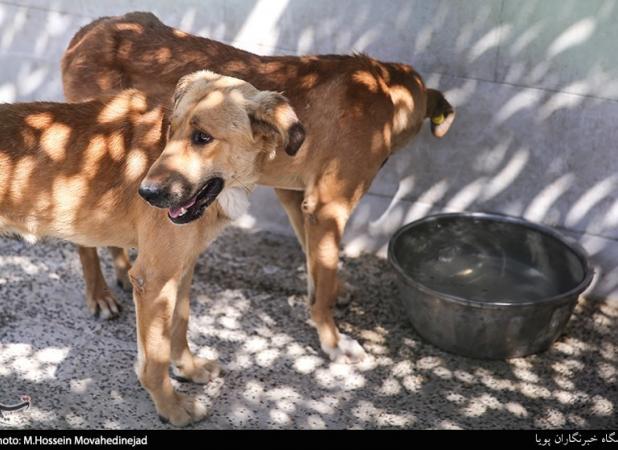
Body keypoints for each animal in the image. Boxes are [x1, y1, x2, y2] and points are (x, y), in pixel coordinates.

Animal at [0, 71, 304, 426]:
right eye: (171, 129)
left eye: (202, 137)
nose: (145, 194)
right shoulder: (155, 280)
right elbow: (155, 359)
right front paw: (171, 406)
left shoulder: (182, 268)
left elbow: (180, 325)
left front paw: (189, 368)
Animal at [61, 11, 452, 362]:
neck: (384, 91)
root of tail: (86, 30)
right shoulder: (329, 206)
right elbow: (323, 276)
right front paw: (333, 340)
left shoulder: (296, 197)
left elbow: (315, 260)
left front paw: (332, 293)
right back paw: (98, 294)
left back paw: (121, 272)